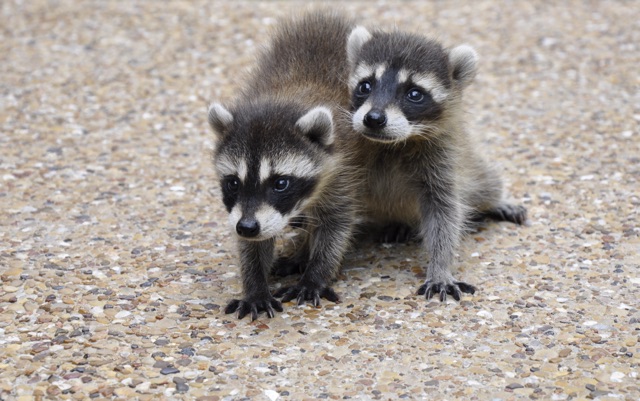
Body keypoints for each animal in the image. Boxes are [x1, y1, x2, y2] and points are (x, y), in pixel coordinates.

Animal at [210, 11, 360, 318]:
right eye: (233, 182)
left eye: (280, 183)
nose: (246, 227)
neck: (284, 99)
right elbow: (254, 244)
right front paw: (255, 285)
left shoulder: (340, 168)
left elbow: (336, 223)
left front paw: (317, 273)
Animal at [344, 25, 524, 300]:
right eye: (365, 85)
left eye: (414, 94)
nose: (373, 119)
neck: (393, 144)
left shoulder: (443, 157)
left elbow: (444, 213)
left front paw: (440, 267)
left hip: (471, 167)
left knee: (487, 184)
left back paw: (496, 200)